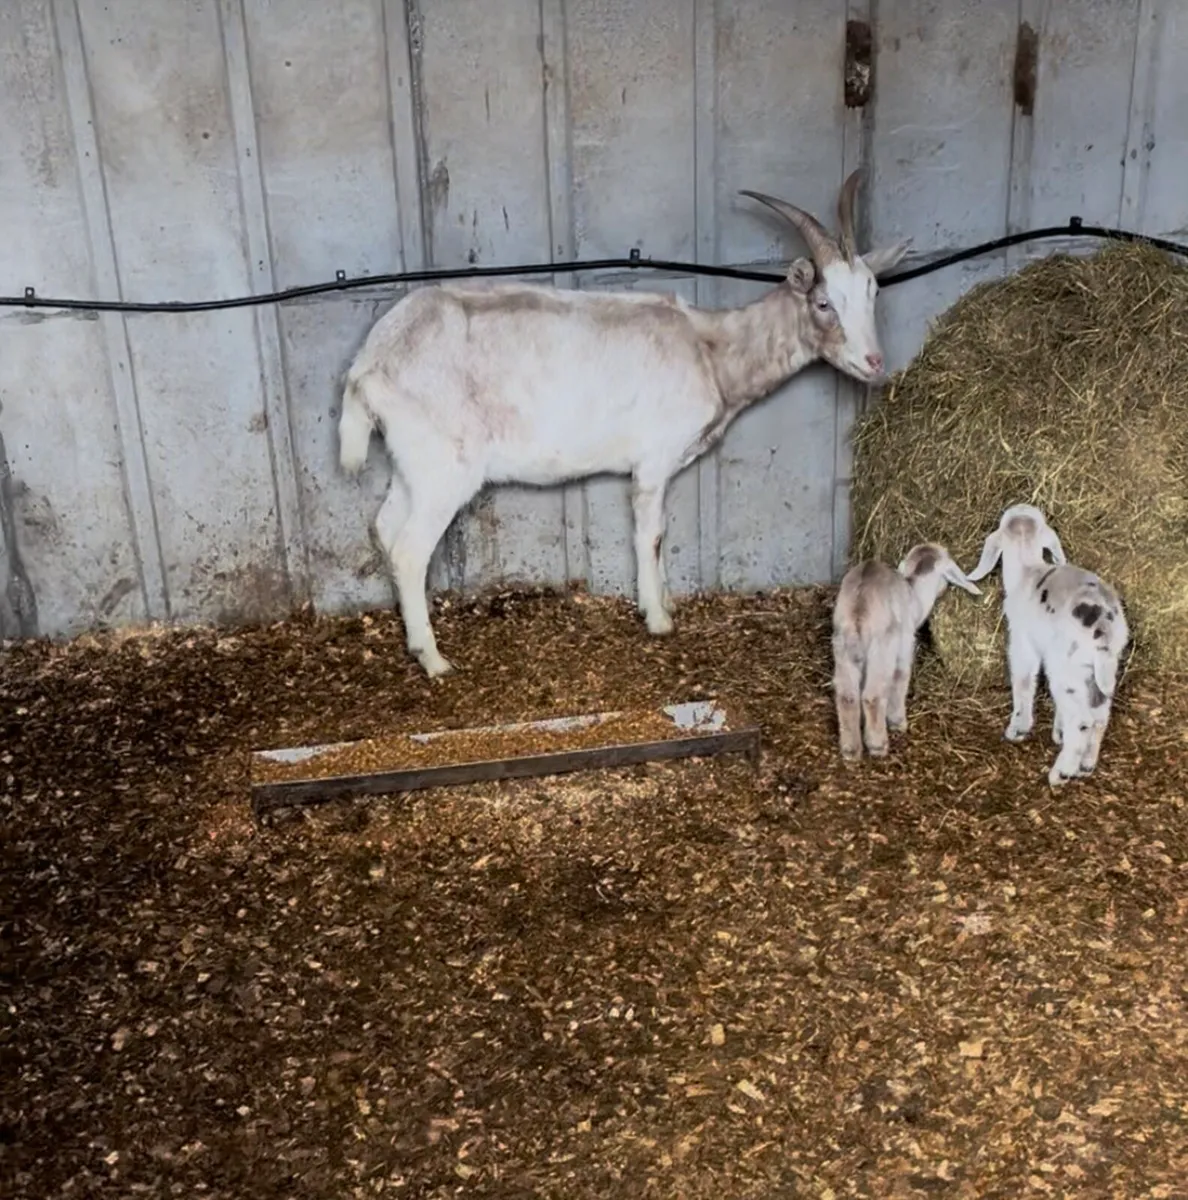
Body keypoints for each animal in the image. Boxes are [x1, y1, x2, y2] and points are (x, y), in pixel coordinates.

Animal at [339, 171, 910, 677]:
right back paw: (433, 660)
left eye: (875, 293)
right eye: (823, 302)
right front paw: (657, 618)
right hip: (445, 464)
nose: (874, 362)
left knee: (385, 528)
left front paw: (666, 604)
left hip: (411, 461)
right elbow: (651, 534)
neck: (709, 349)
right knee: (410, 549)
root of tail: (369, 362)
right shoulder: (654, 459)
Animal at [832, 543, 981, 760]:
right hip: (882, 648)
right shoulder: (905, 645)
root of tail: (859, 608)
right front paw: (897, 722)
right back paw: (878, 746)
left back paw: (851, 749)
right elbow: (900, 677)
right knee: (872, 696)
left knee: (847, 696)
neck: (915, 598)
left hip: (842, 645)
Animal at [966, 503, 1130, 786]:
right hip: (1101, 671)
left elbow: (1023, 681)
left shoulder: (1022, 643)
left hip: (1066, 667)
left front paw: (1018, 728)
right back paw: (1086, 764)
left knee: (1083, 719)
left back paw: (1061, 773)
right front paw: (1058, 732)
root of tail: (1103, 626)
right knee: (1100, 716)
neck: (1027, 569)